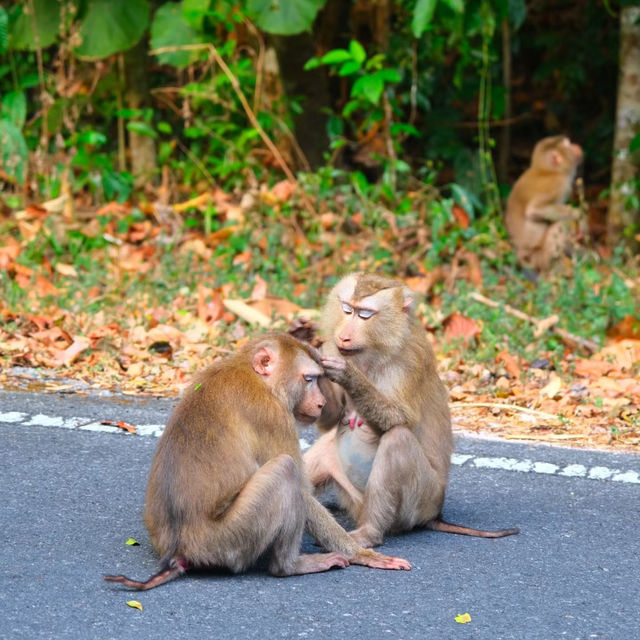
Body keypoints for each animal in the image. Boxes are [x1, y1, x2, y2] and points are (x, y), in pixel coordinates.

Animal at [102, 336, 408, 592]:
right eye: (309, 379)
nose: (321, 403)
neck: (255, 376)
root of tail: (180, 550)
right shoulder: (273, 415)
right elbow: (303, 492)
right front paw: (361, 554)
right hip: (229, 540)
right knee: (285, 470)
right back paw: (290, 566)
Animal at [302, 272, 516, 548]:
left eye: (364, 315)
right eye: (347, 309)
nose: (344, 336)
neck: (373, 354)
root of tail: (436, 514)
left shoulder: (412, 361)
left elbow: (400, 419)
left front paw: (349, 375)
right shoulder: (333, 347)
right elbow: (329, 419)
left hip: (421, 501)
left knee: (398, 440)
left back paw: (369, 534)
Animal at [504, 135, 584, 272]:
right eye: (568, 145)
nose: (576, 146)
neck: (548, 170)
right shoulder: (558, 183)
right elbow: (534, 210)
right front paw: (575, 214)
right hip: (538, 256)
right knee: (560, 225)